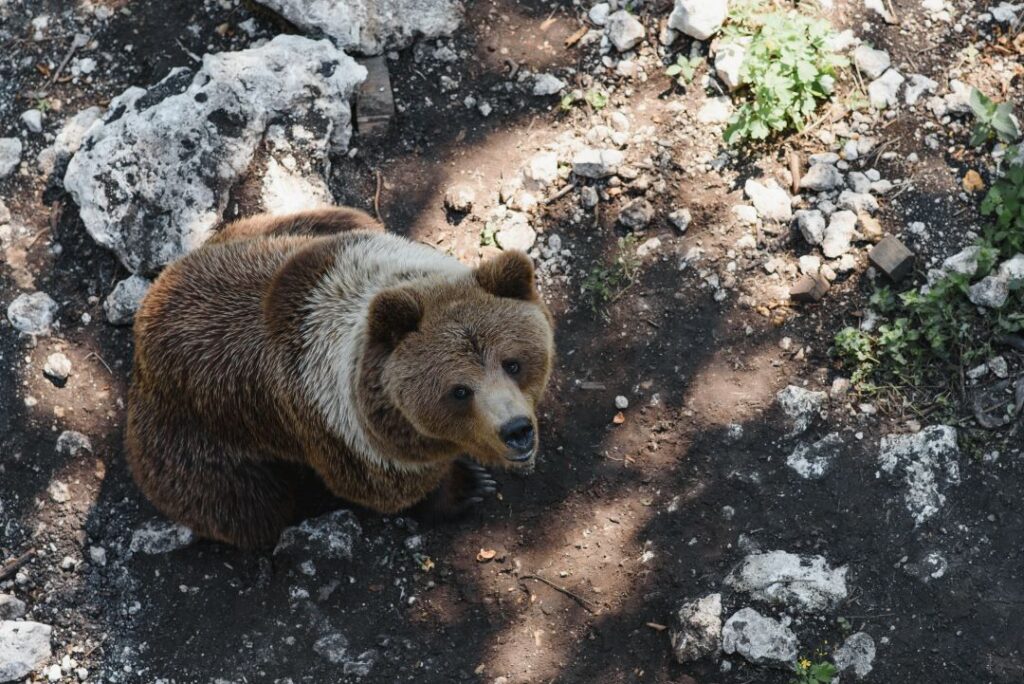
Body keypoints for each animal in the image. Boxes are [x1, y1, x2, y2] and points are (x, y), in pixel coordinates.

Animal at [129, 205, 561, 548]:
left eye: (513, 363)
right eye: (459, 391)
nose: (516, 430)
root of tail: (145, 318)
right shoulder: (347, 438)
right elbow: (390, 490)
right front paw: (468, 486)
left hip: (271, 228)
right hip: (197, 440)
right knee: (251, 508)